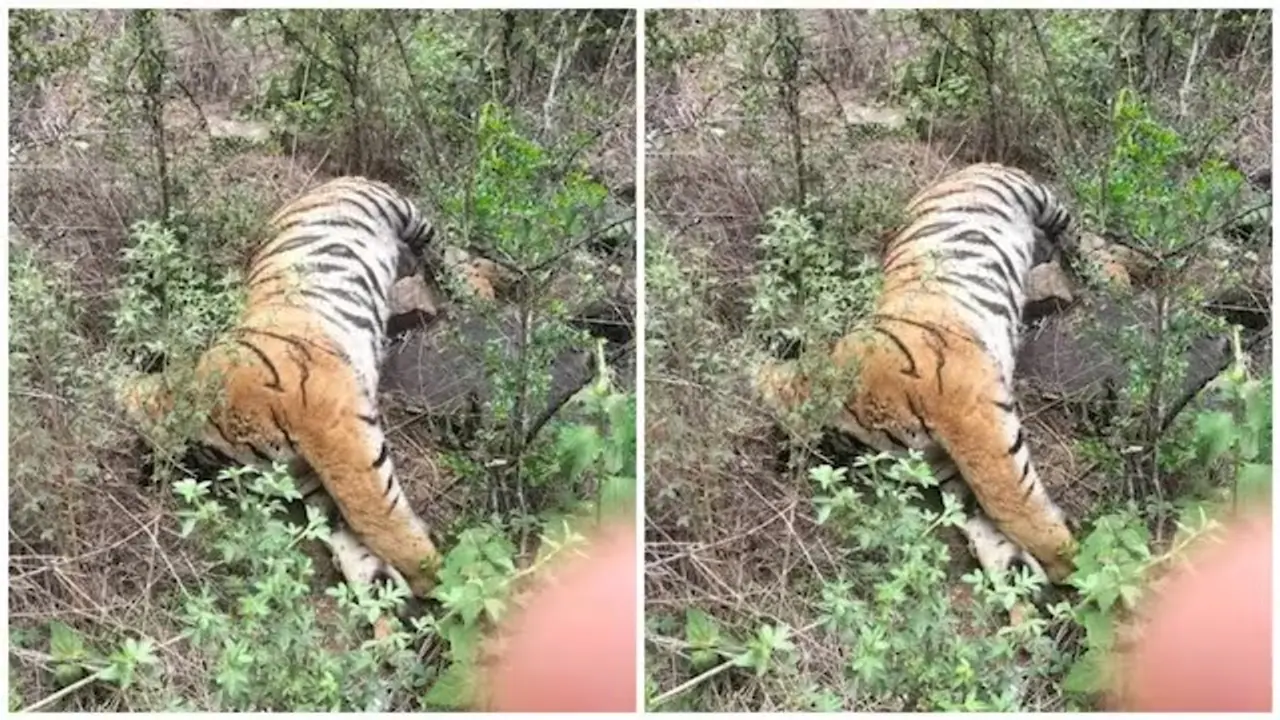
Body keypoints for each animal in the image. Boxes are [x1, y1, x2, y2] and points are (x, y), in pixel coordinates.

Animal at [118, 176, 444, 598]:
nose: (146, 474)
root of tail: (329, 181)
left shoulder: (332, 430)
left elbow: (371, 512)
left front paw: (436, 578)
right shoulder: (306, 473)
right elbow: (342, 527)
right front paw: (382, 590)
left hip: (399, 210)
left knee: (438, 240)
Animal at [756, 162, 1079, 590]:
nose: (783, 461)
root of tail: (965, 168)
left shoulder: (970, 417)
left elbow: (1007, 500)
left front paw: (1071, 564)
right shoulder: (940, 460)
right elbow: (975, 513)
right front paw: (1019, 578)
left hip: (1033, 195)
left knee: (1074, 225)